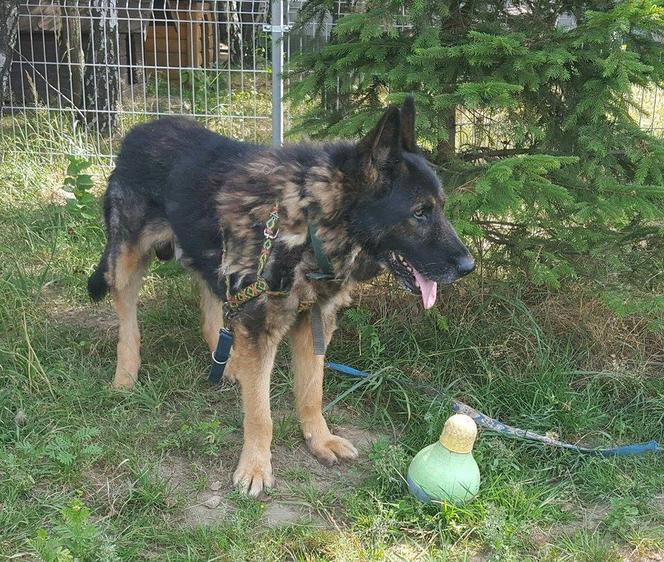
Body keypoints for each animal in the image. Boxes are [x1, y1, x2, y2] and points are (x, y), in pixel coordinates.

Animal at [88, 96, 474, 494]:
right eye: (420, 212)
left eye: (440, 207)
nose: (469, 266)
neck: (310, 221)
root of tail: (137, 132)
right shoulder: (262, 329)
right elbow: (261, 414)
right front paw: (256, 466)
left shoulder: (314, 323)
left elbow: (312, 393)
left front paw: (319, 440)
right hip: (126, 263)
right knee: (128, 322)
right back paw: (125, 376)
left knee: (212, 310)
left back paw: (229, 364)